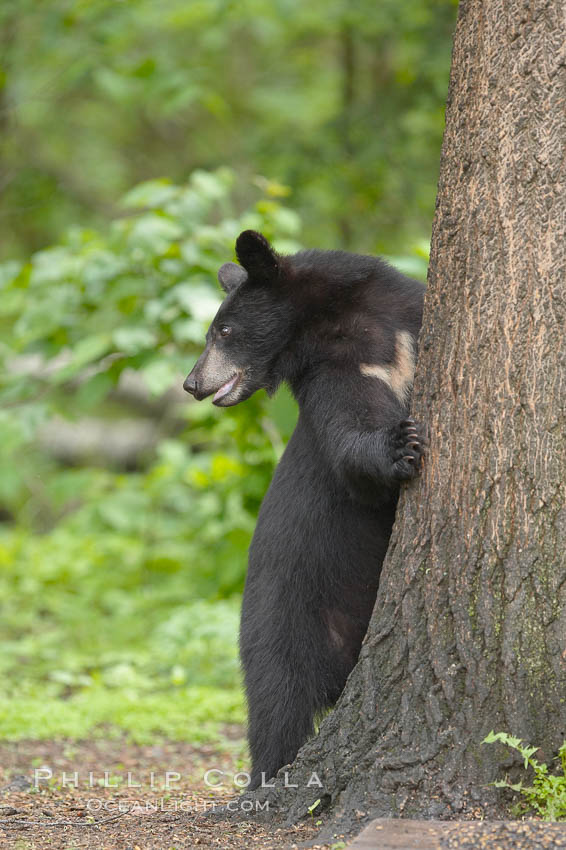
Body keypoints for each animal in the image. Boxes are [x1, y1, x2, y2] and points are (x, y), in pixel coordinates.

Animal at [184, 230, 428, 788]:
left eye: (223, 330)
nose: (192, 383)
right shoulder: (334, 373)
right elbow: (350, 433)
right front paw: (399, 446)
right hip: (279, 624)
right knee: (276, 705)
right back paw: (263, 783)